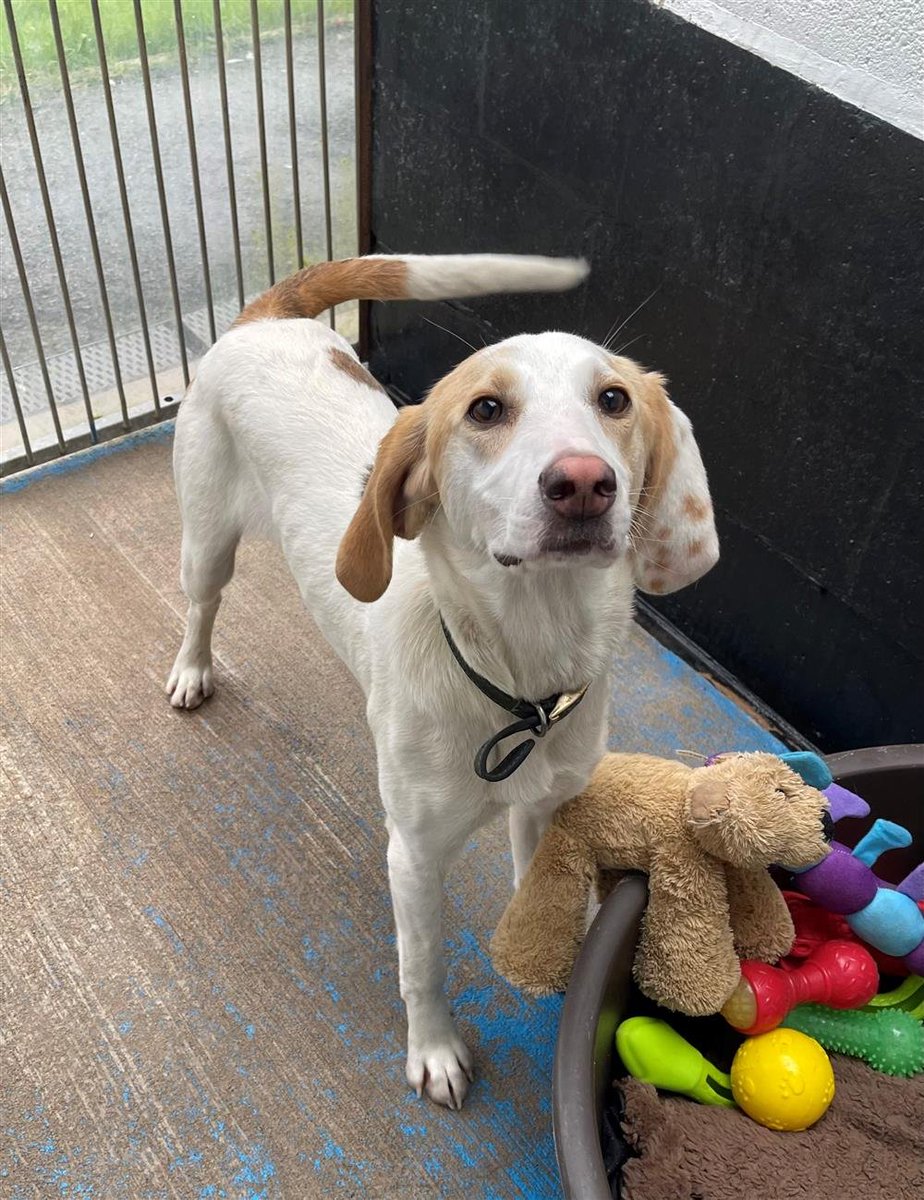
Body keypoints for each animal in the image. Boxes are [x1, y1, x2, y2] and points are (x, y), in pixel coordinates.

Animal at [165, 253, 715, 1104]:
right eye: (486, 409)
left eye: (614, 399)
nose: (584, 483)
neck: (520, 672)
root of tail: (267, 317)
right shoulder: (415, 856)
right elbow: (422, 967)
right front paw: (434, 1053)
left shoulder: (543, 807)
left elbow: (541, 895)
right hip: (207, 536)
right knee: (201, 603)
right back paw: (192, 670)